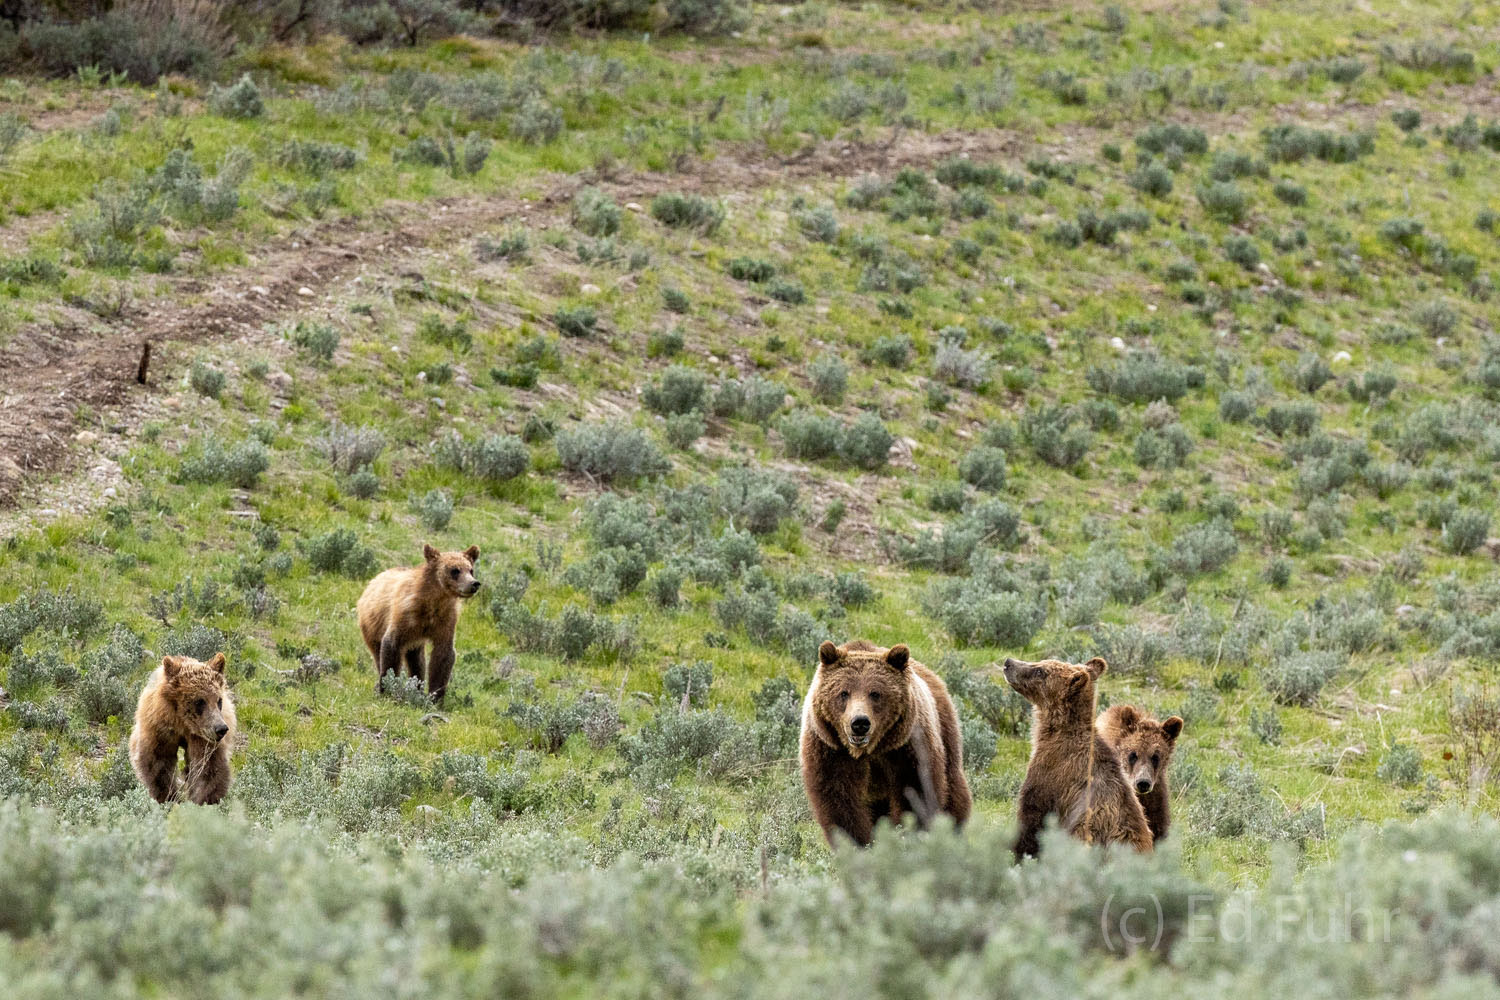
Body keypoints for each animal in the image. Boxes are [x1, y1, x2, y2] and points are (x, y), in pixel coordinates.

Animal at [130, 656, 237, 803]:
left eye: (219, 700)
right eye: (200, 701)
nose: (221, 728)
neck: (182, 725)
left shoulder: (202, 737)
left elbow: (207, 768)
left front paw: (205, 799)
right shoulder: (159, 730)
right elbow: (158, 765)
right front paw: (167, 797)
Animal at [357, 542, 480, 701]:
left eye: (471, 570)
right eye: (455, 570)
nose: (474, 584)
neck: (432, 603)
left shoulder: (445, 622)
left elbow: (443, 655)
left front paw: (435, 697)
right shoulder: (404, 617)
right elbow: (391, 646)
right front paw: (388, 689)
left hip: (415, 641)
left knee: (417, 661)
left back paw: (417, 688)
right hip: (372, 626)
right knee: (378, 654)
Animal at [798, 641, 972, 845]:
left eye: (875, 693)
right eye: (843, 693)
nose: (859, 723)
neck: (869, 751)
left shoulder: (907, 749)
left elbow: (914, 794)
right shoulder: (830, 751)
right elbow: (840, 803)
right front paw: (860, 843)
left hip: (946, 733)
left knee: (954, 792)